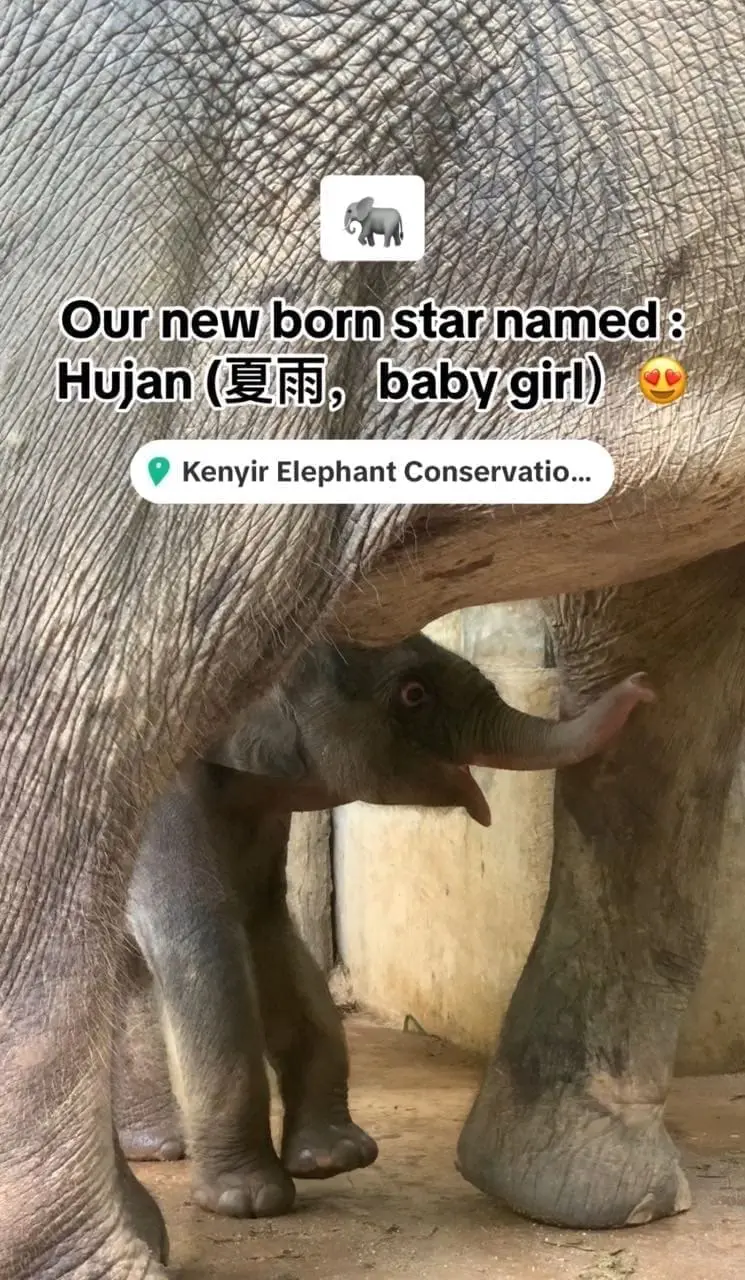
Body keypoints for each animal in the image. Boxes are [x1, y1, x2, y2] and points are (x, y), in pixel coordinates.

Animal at [115, 634, 651, 1219]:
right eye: (413, 694)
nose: (642, 687)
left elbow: (268, 927)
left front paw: (335, 1159)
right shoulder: (158, 803)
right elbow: (199, 933)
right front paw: (249, 1201)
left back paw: (156, 1147)